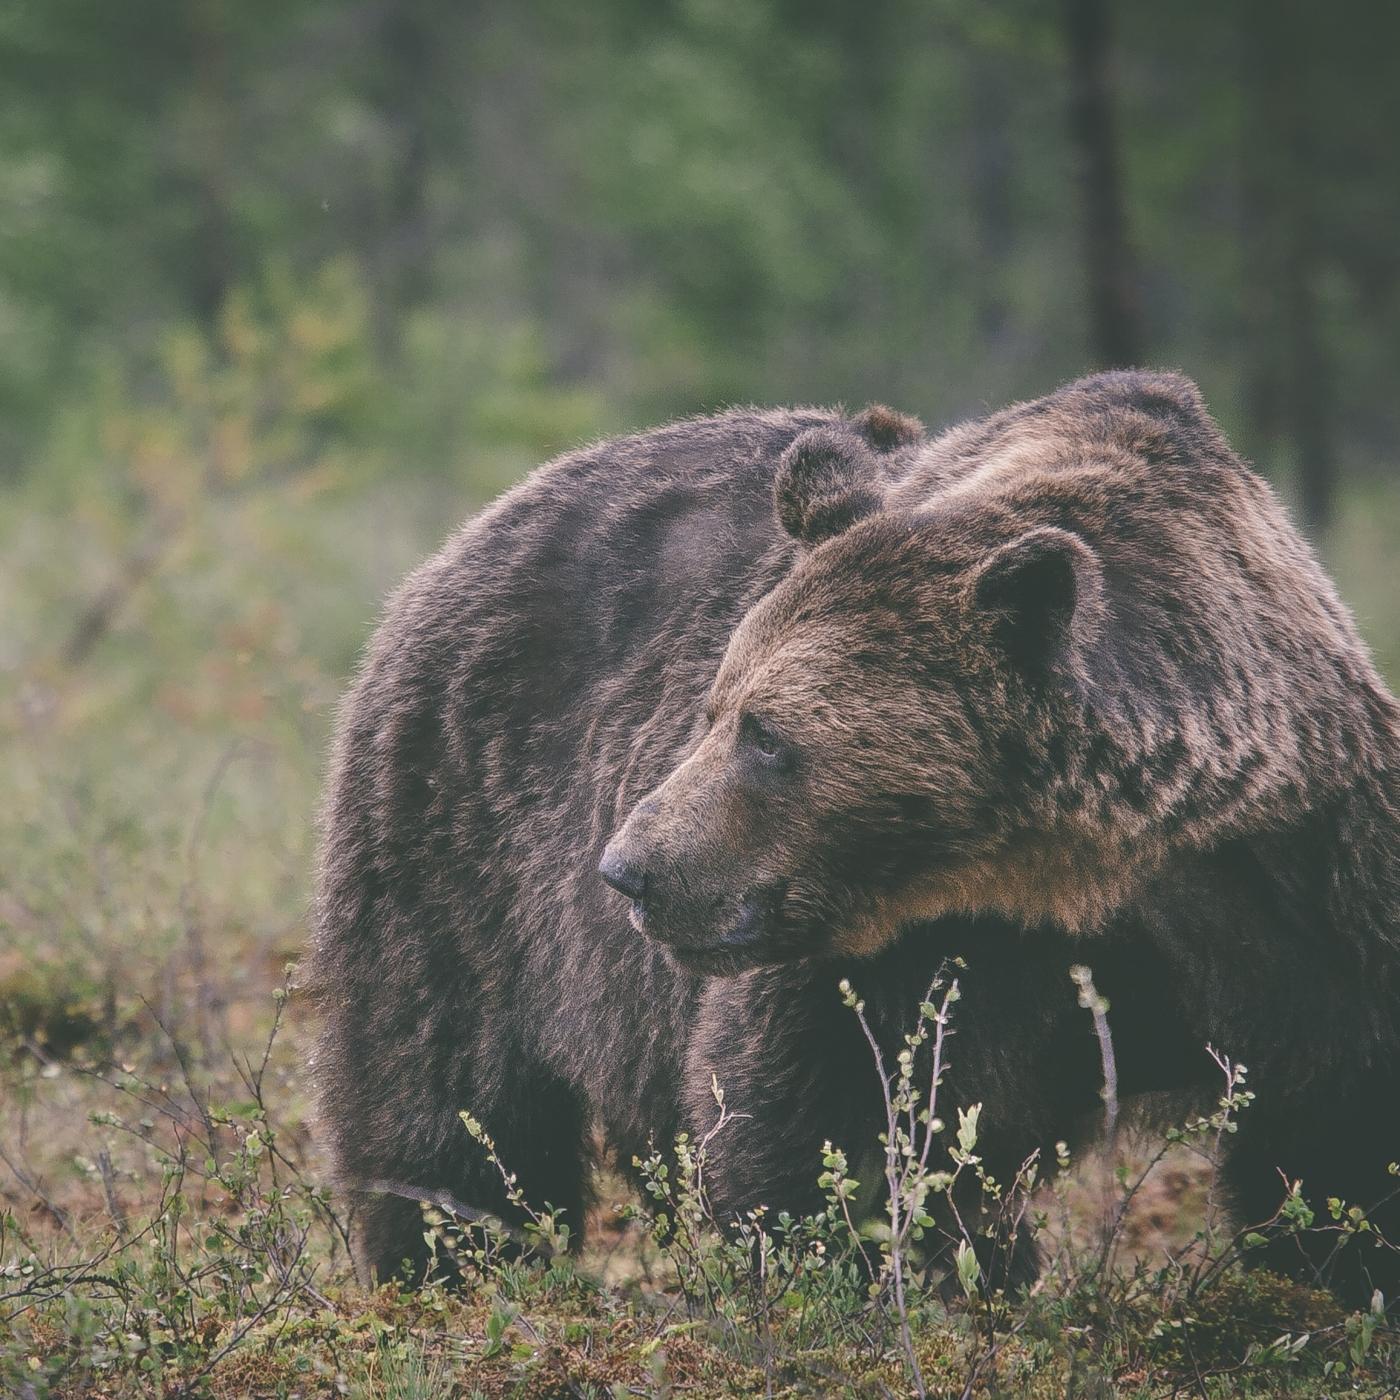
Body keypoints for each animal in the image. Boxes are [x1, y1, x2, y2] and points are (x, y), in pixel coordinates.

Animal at [311, 371, 1400, 1303]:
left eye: (764, 733)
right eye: (712, 707)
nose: (628, 871)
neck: (1094, 867)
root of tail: (480, 522)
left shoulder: (1308, 896)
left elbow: (1341, 1143)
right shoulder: (914, 955)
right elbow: (827, 1128)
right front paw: (876, 1273)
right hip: (457, 837)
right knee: (446, 1093)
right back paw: (449, 1265)